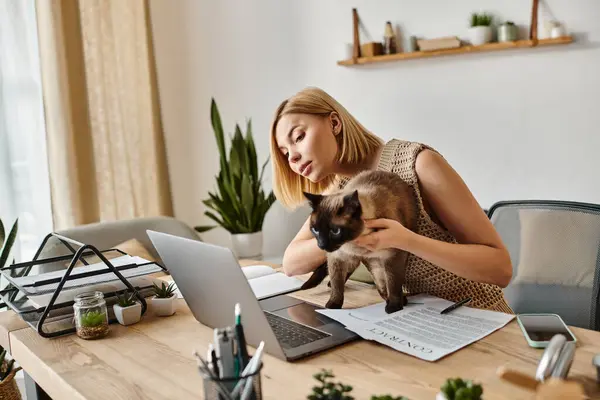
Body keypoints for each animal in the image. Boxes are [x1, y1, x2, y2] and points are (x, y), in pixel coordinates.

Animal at [300, 170, 418, 314]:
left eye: (335, 231)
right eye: (315, 230)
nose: (321, 245)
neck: (353, 244)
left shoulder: (392, 256)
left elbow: (393, 284)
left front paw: (394, 307)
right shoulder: (337, 257)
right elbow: (337, 285)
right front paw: (332, 306)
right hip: (363, 261)